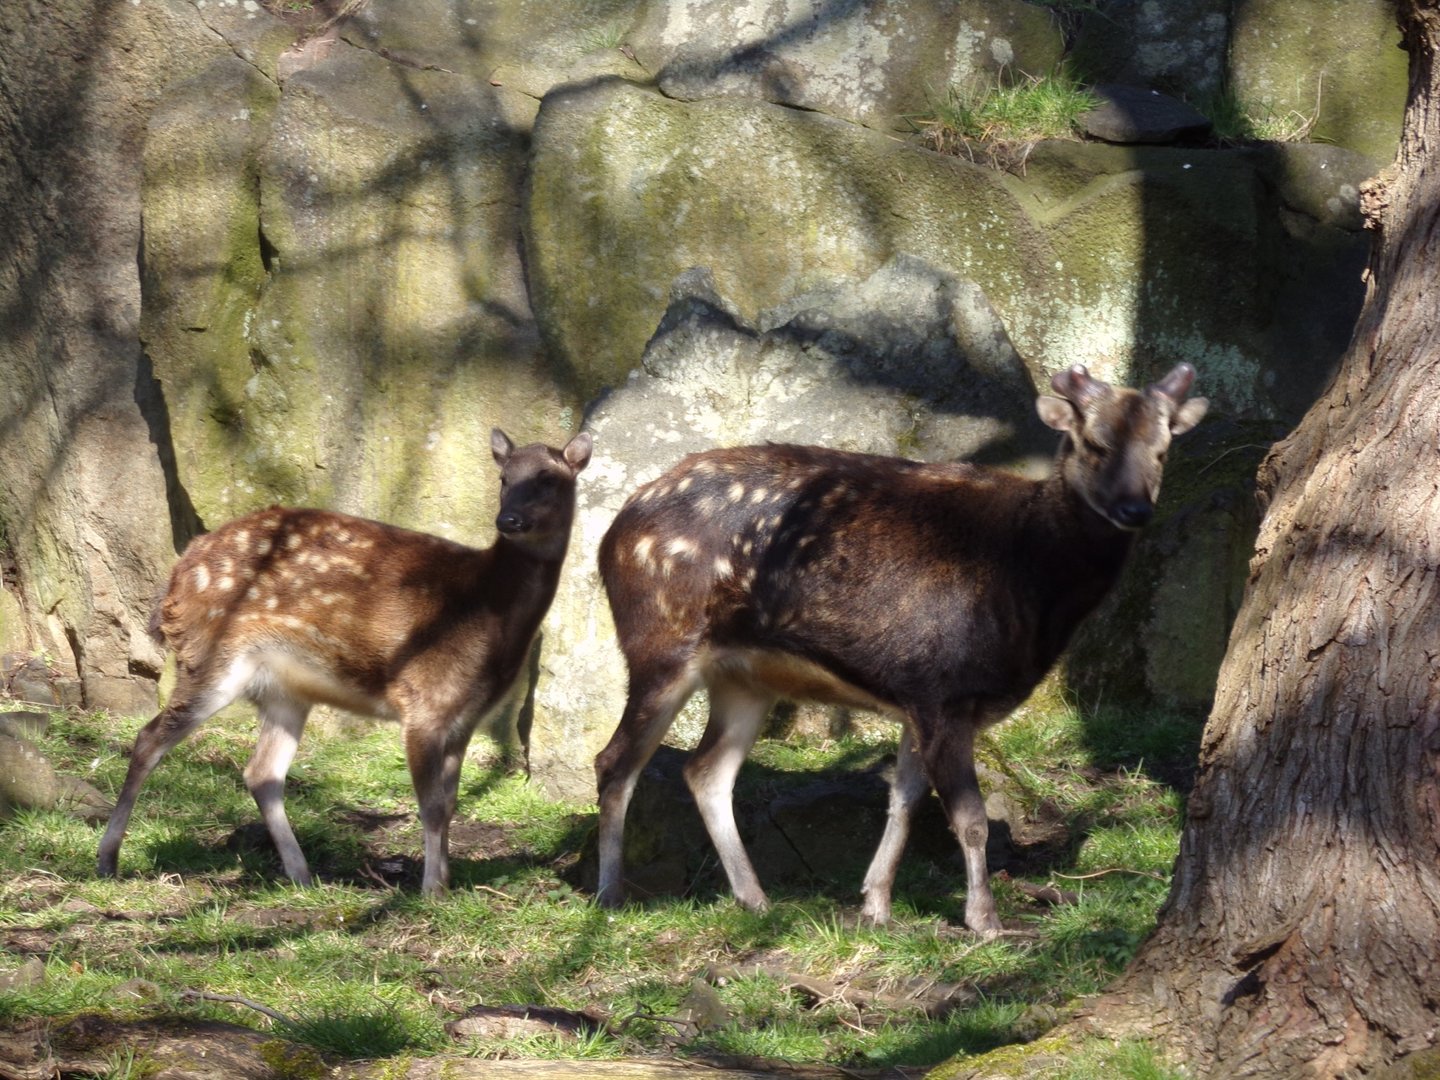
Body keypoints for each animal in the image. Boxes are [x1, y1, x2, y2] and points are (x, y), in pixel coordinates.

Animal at [98, 429, 592, 894]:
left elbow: (450, 803)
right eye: (504, 478)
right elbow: (431, 806)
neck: (488, 608)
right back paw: (108, 861)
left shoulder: (465, 715)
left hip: (284, 691)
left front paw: (447, 882)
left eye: (548, 478)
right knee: (149, 739)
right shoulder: (422, 699)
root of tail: (177, 574)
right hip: (211, 655)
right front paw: (431, 891)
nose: (509, 520)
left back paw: (302, 875)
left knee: (262, 771)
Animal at [593, 364, 1207, 937]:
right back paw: (610, 896)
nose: (1135, 510)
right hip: (660, 644)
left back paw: (756, 898)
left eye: (1162, 448)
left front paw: (876, 904)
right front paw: (985, 921)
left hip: (745, 679)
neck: (1032, 585)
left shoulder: (916, 695)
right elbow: (971, 818)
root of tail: (610, 535)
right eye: (1095, 443)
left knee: (705, 770)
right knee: (614, 761)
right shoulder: (944, 688)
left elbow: (905, 798)